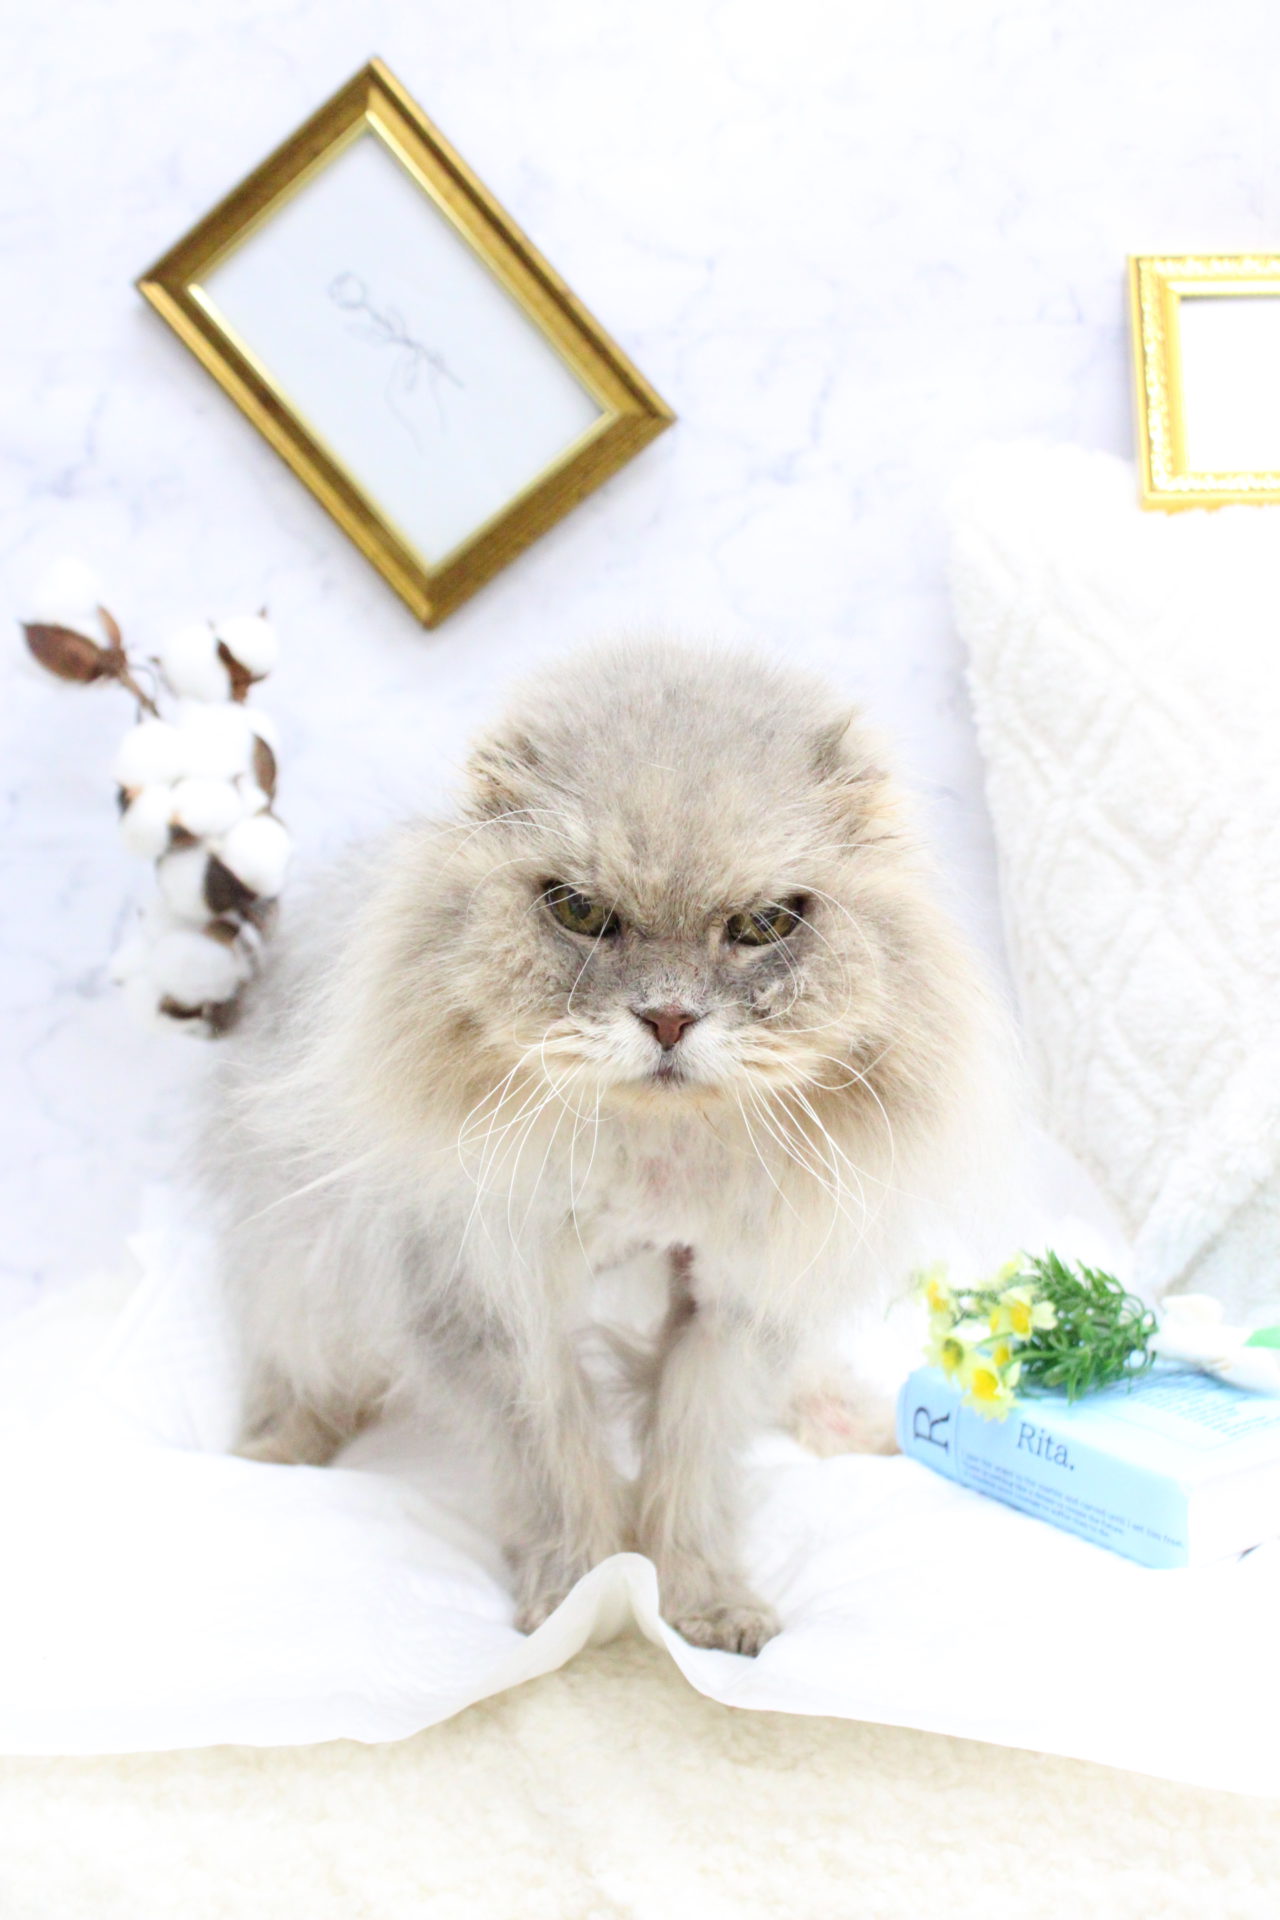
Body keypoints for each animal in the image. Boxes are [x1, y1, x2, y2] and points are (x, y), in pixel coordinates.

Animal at [208, 639, 1005, 1654]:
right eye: (580, 912)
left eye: (761, 925)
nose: (666, 1018)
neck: (655, 1160)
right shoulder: (490, 1302)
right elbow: (555, 1463)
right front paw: (575, 1595)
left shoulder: (730, 1303)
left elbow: (692, 1466)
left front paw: (706, 1606)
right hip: (302, 1266)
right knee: (297, 1374)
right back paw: (272, 1452)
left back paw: (859, 1424)